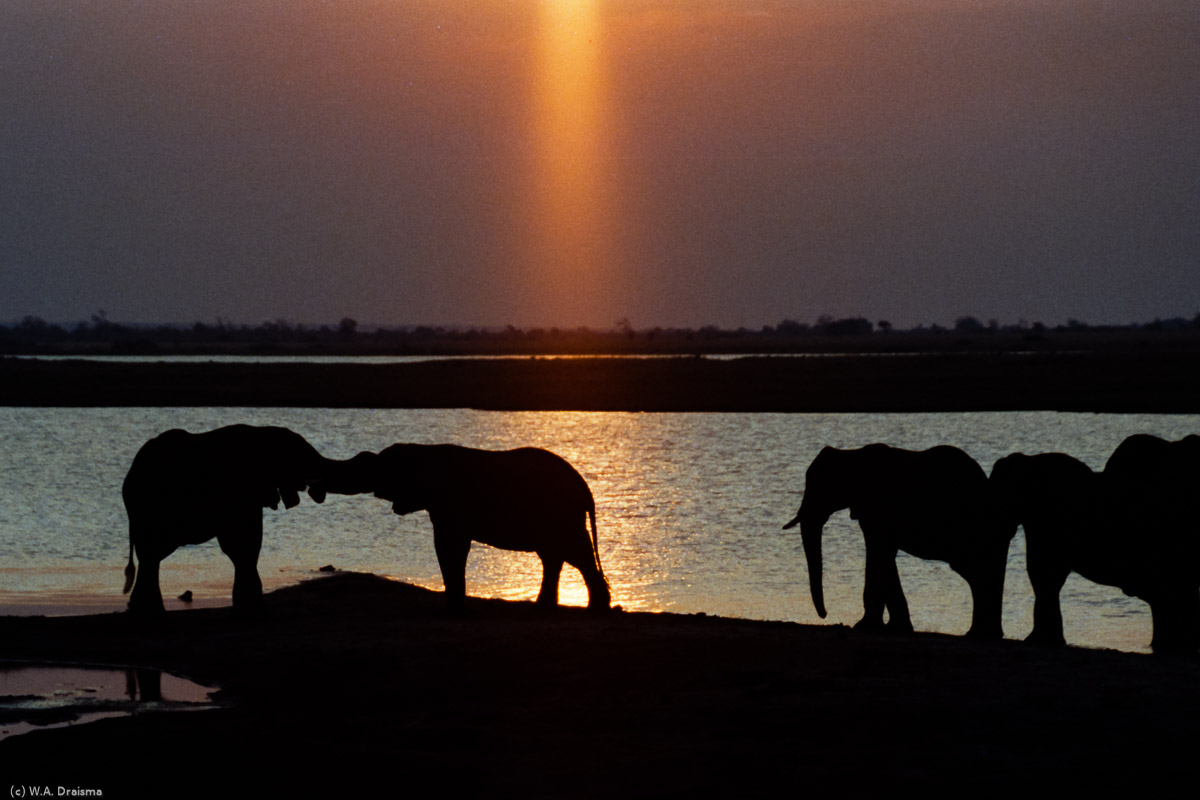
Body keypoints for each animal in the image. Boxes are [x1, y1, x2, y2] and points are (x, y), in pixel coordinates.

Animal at [123, 429, 333, 618]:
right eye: (298, 456)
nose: (315, 490)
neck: (261, 432)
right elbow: (241, 543)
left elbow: (245, 545)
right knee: (151, 554)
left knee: (150, 557)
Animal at [321, 448, 609, 609]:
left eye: (375, 468)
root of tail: (585, 488)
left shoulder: (449, 503)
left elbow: (449, 545)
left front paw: (453, 605)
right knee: (554, 557)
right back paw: (546, 607)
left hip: (561, 515)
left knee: (574, 553)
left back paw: (597, 607)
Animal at [782, 443, 1017, 638]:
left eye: (822, 488)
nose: (825, 615)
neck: (851, 454)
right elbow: (885, 555)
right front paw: (895, 628)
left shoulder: (877, 509)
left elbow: (879, 552)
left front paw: (865, 627)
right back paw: (984, 634)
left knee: (977, 573)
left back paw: (982, 635)